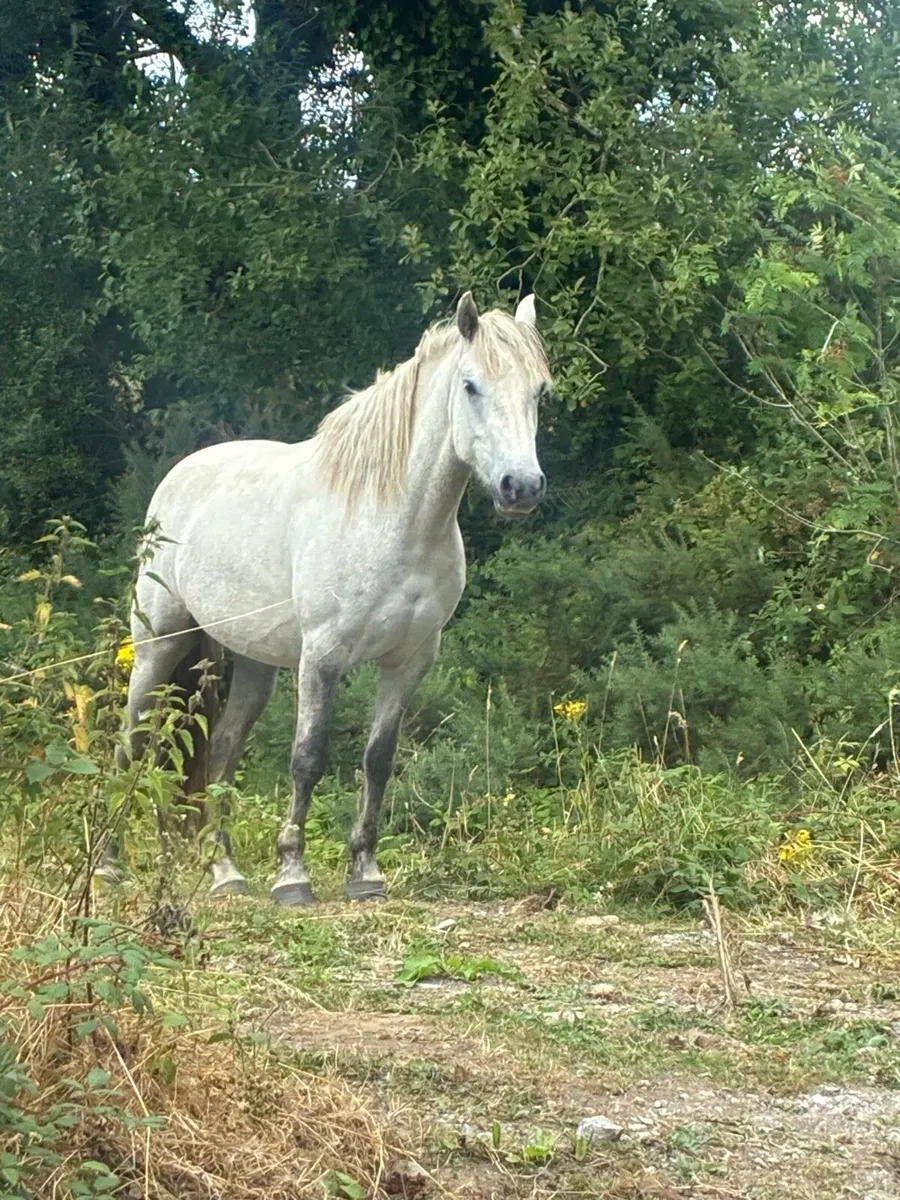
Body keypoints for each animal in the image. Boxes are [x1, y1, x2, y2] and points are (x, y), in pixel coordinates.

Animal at [106, 291, 551, 905]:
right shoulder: (322, 657)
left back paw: (224, 871)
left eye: (540, 391)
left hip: (251, 662)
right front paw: (292, 875)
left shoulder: (410, 661)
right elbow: (308, 758)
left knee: (220, 752)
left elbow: (378, 759)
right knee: (132, 744)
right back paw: (110, 866)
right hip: (159, 643)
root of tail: (177, 479)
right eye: (471, 385)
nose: (521, 488)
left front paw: (365, 871)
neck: (395, 520)